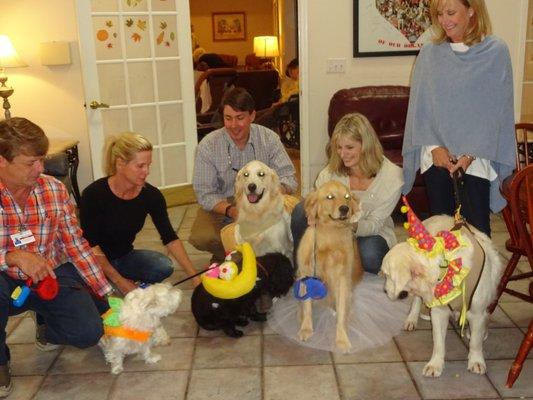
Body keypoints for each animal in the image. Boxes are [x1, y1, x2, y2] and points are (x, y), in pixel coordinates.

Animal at [296, 180, 362, 352]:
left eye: (347, 197)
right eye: (330, 197)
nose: (344, 209)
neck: (331, 233)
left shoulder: (342, 278)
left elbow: (342, 311)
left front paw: (342, 340)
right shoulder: (307, 273)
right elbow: (307, 306)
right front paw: (306, 329)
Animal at [380, 214, 500, 376]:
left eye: (387, 275)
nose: (385, 291)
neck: (447, 268)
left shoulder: (478, 312)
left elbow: (475, 341)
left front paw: (476, 361)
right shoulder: (439, 311)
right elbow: (438, 342)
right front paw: (435, 364)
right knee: (417, 301)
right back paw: (411, 319)